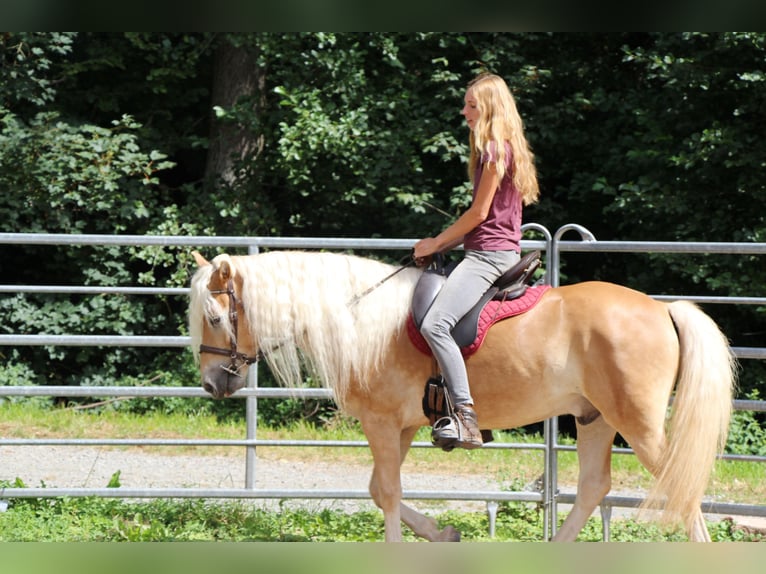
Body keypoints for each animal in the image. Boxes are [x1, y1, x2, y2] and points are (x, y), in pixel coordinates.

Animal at [186, 250, 736, 544]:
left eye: (214, 317)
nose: (213, 383)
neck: (359, 319)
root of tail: (662, 309)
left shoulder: (381, 423)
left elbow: (387, 492)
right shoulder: (403, 426)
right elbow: (377, 489)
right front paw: (442, 535)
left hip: (636, 422)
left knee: (680, 487)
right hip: (594, 417)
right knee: (593, 488)